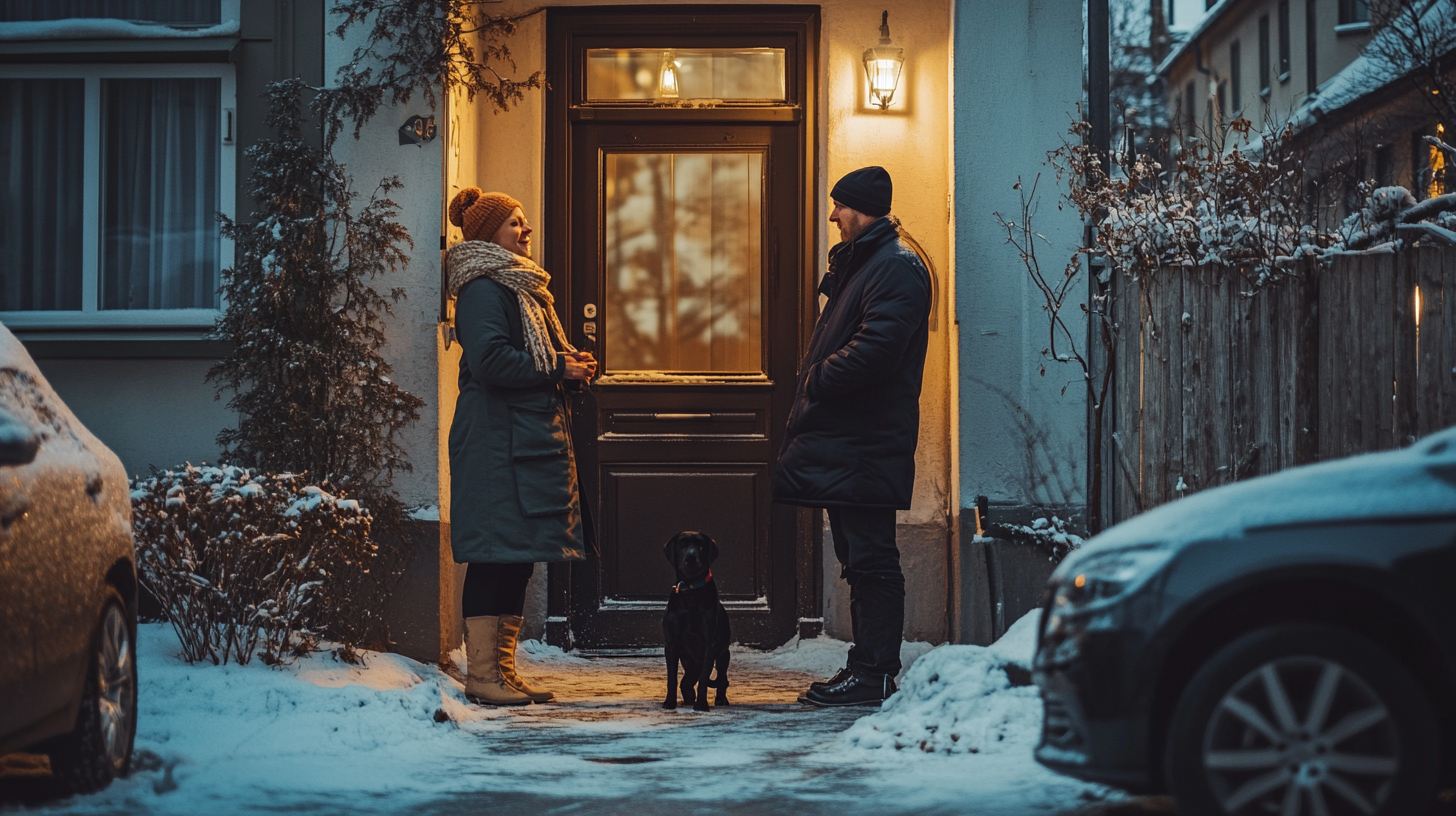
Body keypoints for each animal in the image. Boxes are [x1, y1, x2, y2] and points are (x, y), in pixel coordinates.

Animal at [661, 533, 728, 711]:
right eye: (682, 545)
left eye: (701, 545)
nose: (691, 557)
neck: (691, 591)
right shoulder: (671, 644)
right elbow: (672, 678)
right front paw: (669, 702)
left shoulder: (709, 643)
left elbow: (704, 678)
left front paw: (702, 704)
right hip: (690, 665)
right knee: (685, 682)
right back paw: (689, 699)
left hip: (723, 656)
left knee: (722, 680)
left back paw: (721, 699)